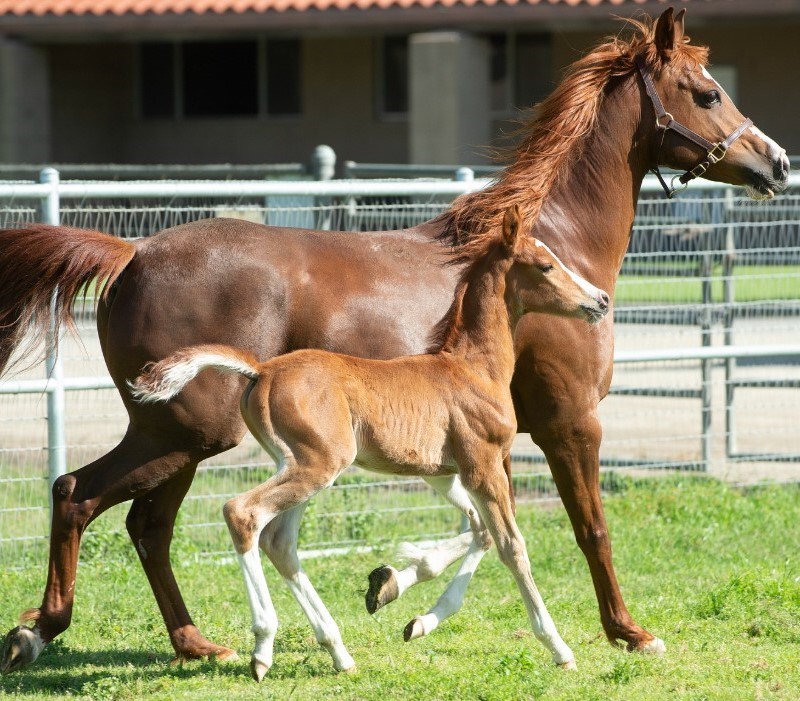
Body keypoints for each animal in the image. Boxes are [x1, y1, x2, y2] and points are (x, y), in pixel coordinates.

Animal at [128, 205, 610, 678]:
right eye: (546, 265)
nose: (601, 300)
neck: (472, 368)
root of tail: (261, 370)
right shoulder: (483, 465)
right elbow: (512, 546)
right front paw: (559, 648)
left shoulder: (443, 473)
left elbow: (479, 531)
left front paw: (399, 596)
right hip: (318, 465)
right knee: (242, 513)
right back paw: (264, 648)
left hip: (300, 464)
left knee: (279, 540)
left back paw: (338, 652)